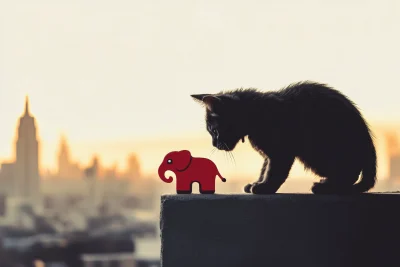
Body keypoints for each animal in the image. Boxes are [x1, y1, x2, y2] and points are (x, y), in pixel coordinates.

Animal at [192, 81, 376, 195]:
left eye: (214, 131)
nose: (214, 144)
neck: (255, 112)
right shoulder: (269, 154)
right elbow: (265, 168)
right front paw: (257, 182)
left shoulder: (281, 150)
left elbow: (275, 171)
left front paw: (265, 187)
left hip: (320, 152)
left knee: (349, 172)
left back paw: (327, 186)